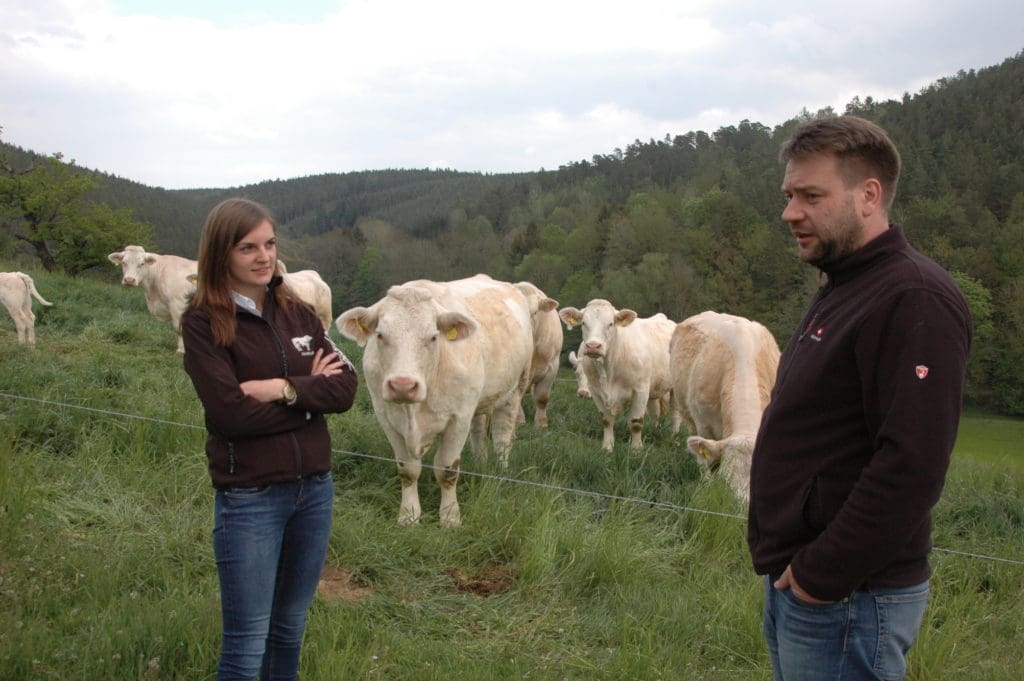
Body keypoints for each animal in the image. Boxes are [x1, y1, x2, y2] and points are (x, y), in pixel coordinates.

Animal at [337, 272, 536, 524]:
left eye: (433, 337)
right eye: (380, 335)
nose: (403, 385)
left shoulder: (458, 418)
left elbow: (447, 470)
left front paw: (450, 517)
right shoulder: (386, 416)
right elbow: (407, 470)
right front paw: (409, 515)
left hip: (515, 389)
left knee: (502, 437)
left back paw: (502, 472)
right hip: (480, 401)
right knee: (479, 429)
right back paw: (480, 462)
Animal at [557, 299, 675, 450]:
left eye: (610, 324)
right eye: (583, 323)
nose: (593, 346)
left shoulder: (641, 389)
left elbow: (636, 422)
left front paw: (636, 449)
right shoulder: (596, 391)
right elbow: (606, 420)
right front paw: (607, 447)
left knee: (675, 415)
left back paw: (673, 435)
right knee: (655, 412)